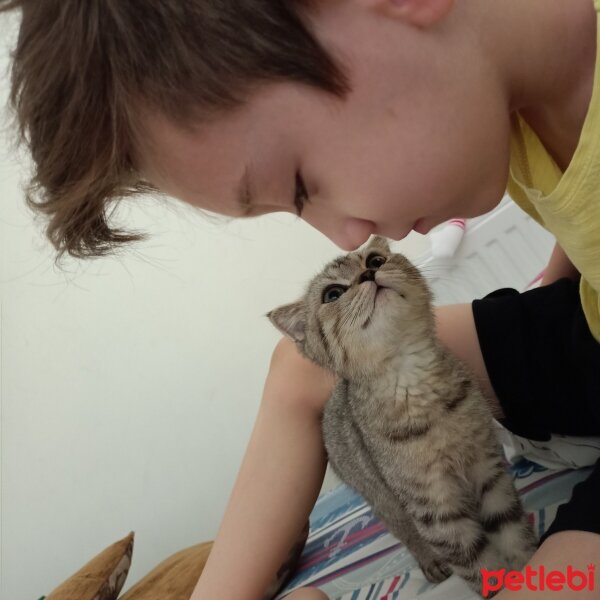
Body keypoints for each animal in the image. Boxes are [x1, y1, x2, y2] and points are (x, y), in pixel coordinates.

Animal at [268, 237, 536, 592]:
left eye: (375, 259)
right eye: (332, 295)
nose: (369, 273)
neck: (411, 375)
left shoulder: (488, 471)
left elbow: (513, 535)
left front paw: (528, 567)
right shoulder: (433, 507)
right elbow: (477, 564)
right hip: (384, 498)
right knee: (405, 531)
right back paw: (431, 561)